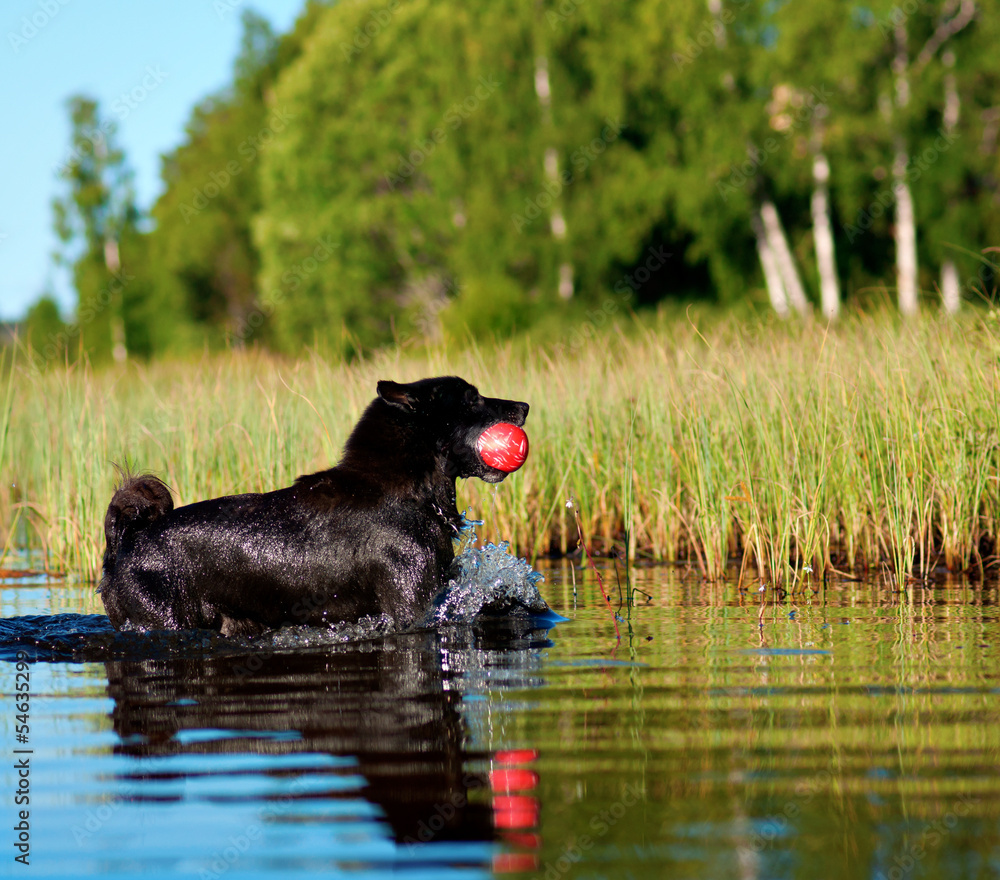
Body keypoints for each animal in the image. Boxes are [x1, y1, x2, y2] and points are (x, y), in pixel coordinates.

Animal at [97, 374, 528, 636]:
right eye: (472, 398)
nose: (524, 407)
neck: (406, 492)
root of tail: (126, 540)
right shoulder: (412, 605)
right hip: (165, 619)